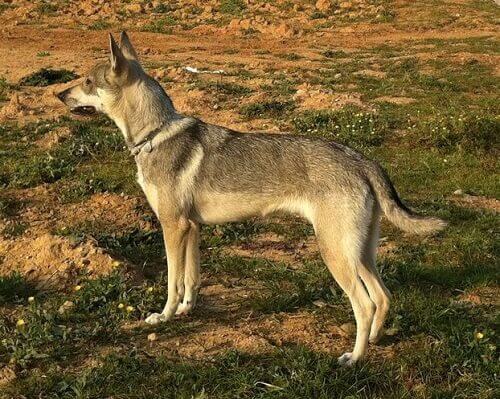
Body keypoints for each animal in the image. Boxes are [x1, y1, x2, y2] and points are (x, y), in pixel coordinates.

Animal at [57, 32, 446, 368]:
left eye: (87, 82)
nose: (59, 94)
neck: (154, 133)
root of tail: (362, 160)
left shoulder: (172, 227)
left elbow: (172, 281)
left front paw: (163, 317)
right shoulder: (191, 228)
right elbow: (191, 280)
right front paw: (185, 311)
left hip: (336, 254)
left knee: (365, 305)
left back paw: (354, 358)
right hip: (360, 253)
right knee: (383, 297)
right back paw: (376, 341)